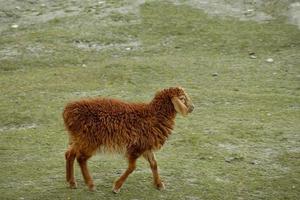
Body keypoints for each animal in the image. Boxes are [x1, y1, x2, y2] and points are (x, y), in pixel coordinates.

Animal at [63, 86, 195, 193]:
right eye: (182, 98)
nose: (192, 107)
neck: (154, 115)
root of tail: (67, 111)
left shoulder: (146, 146)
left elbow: (154, 164)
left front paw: (159, 184)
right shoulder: (136, 147)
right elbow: (132, 167)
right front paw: (116, 187)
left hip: (79, 138)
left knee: (69, 154)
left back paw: (71, 182)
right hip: (89, 140)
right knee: (81, 158)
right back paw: (90, 184)